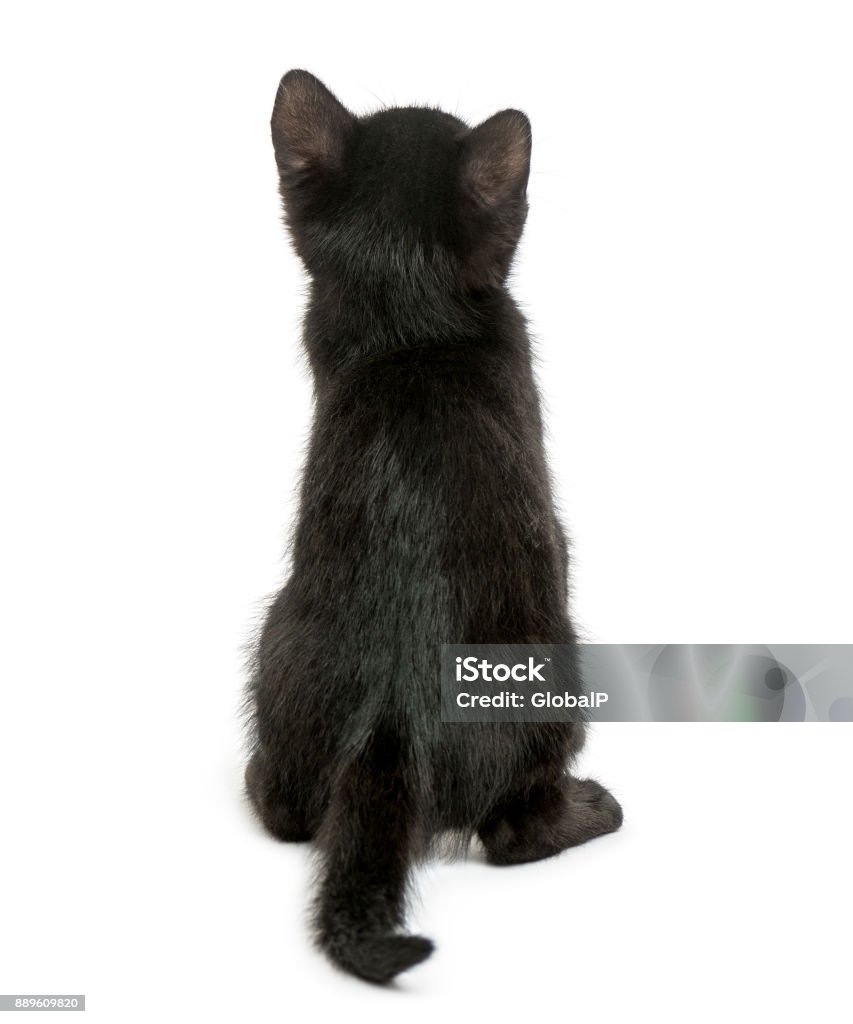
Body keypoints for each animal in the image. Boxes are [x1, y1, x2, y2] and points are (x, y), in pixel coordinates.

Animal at [242, 70, 622, 983]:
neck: (409, 323)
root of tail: (389, 718)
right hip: (559, 665)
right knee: (516, 831)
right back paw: (589, 809)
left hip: (277, 639)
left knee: (291, 813)